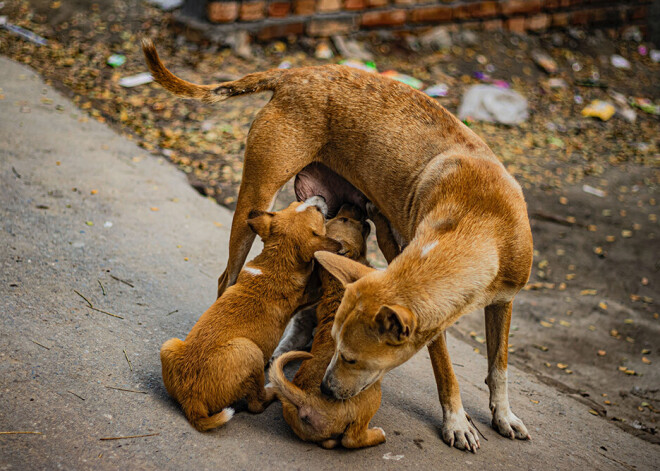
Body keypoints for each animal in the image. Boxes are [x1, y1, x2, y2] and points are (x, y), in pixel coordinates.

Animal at [160, 197, 340, 434]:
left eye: (295, 203)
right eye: (318, 211)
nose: (320, 197)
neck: (275, 261)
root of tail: (191, 401)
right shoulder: (312, 294)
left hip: (168, 345)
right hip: (250, 351)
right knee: (256, 404)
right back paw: (273, 389)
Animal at [270, 206, 386, 450]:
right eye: (344, 220)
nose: (352, 205)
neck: (335, 285)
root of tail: (305, 400)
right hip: (371, 394)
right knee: (352, 439)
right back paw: (377, 434)